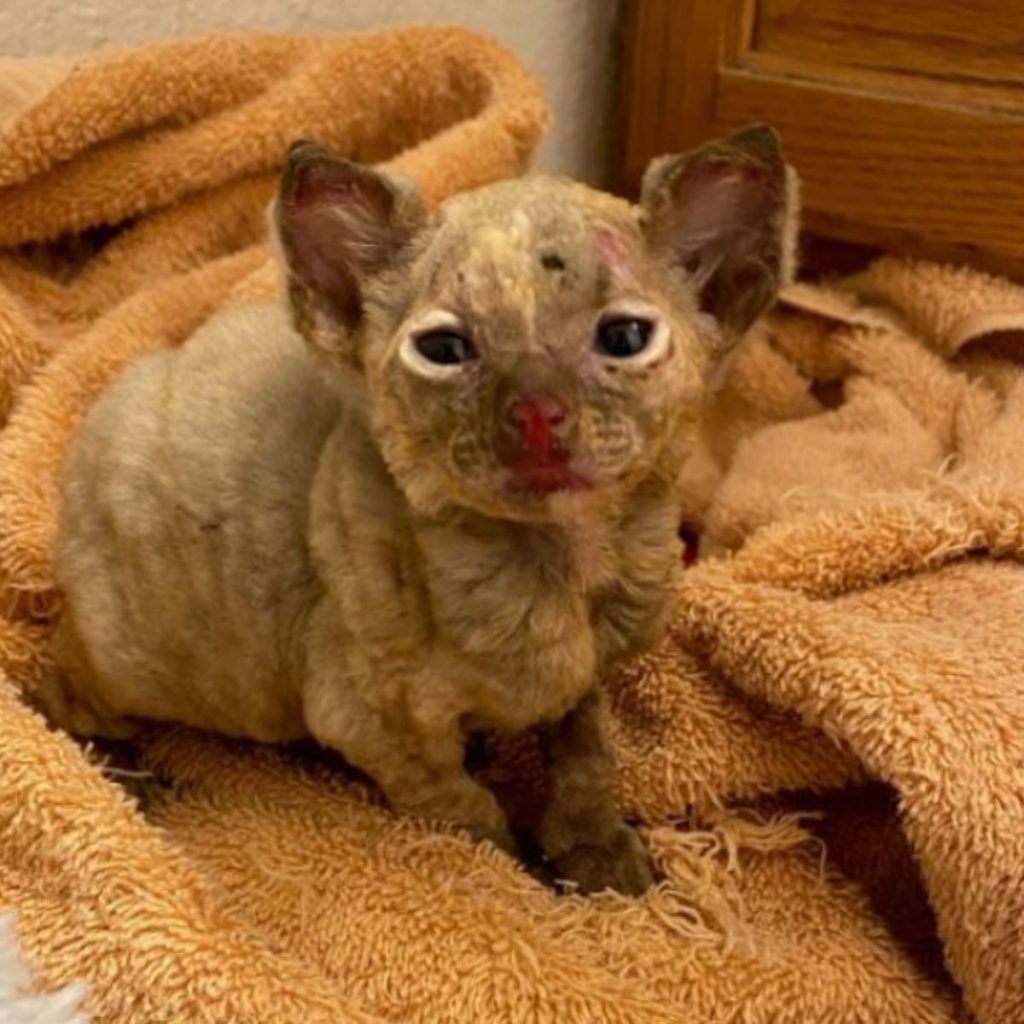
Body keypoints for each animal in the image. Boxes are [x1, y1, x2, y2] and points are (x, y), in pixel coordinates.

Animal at [44, 125, 794, 897]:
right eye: (445, 350)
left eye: (623, 340)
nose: (536, 410)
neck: (567, 562)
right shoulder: (377, 727)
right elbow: (468, 813)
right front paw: (522, 874)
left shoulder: (586, 678)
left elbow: (589, 757)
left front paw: (600, 854)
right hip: (140, 660)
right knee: (59, 690)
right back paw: (121, 773)